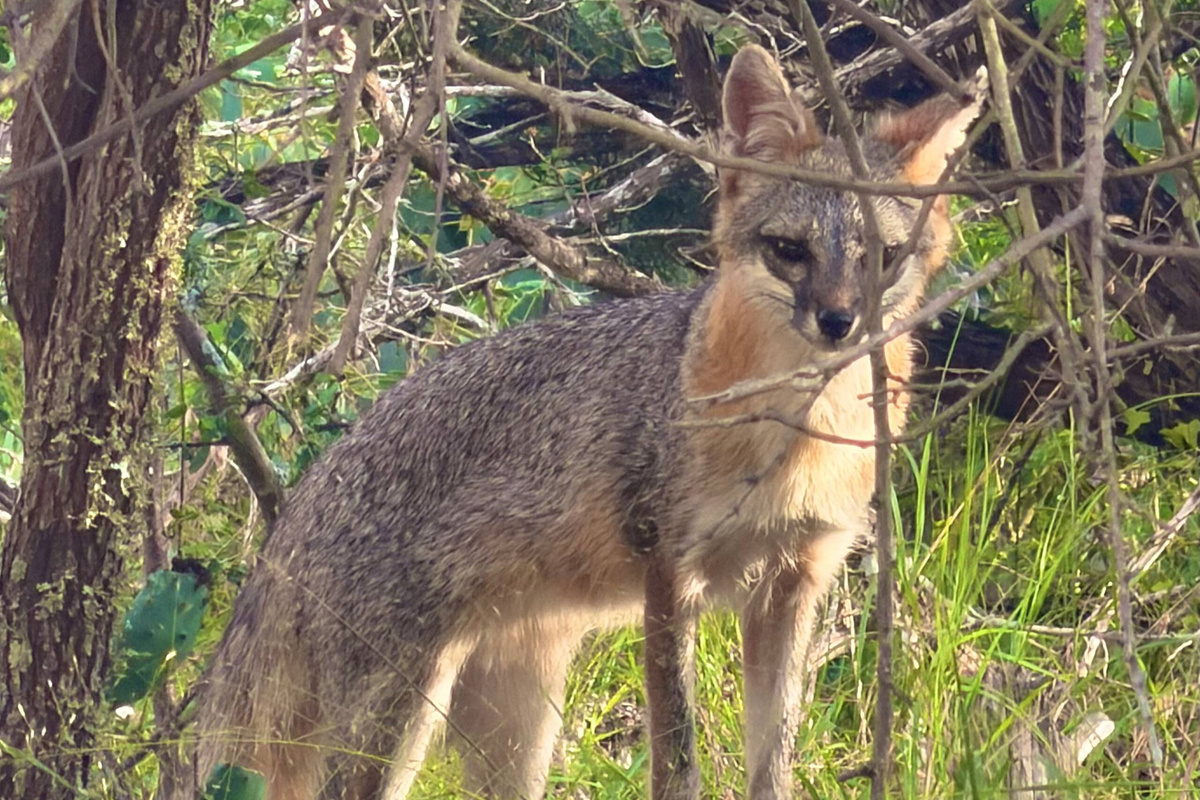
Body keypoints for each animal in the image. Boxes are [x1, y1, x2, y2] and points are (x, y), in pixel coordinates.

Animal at [188, 45, 986, 800]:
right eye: (790, 251)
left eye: (885, 256)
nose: (839, 322)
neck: (794, 441)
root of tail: (307, 492)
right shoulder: (671, 577)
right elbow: (677, 757)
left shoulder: (795, 582)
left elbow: (774, 764)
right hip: (397, 724)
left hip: (518, 731)